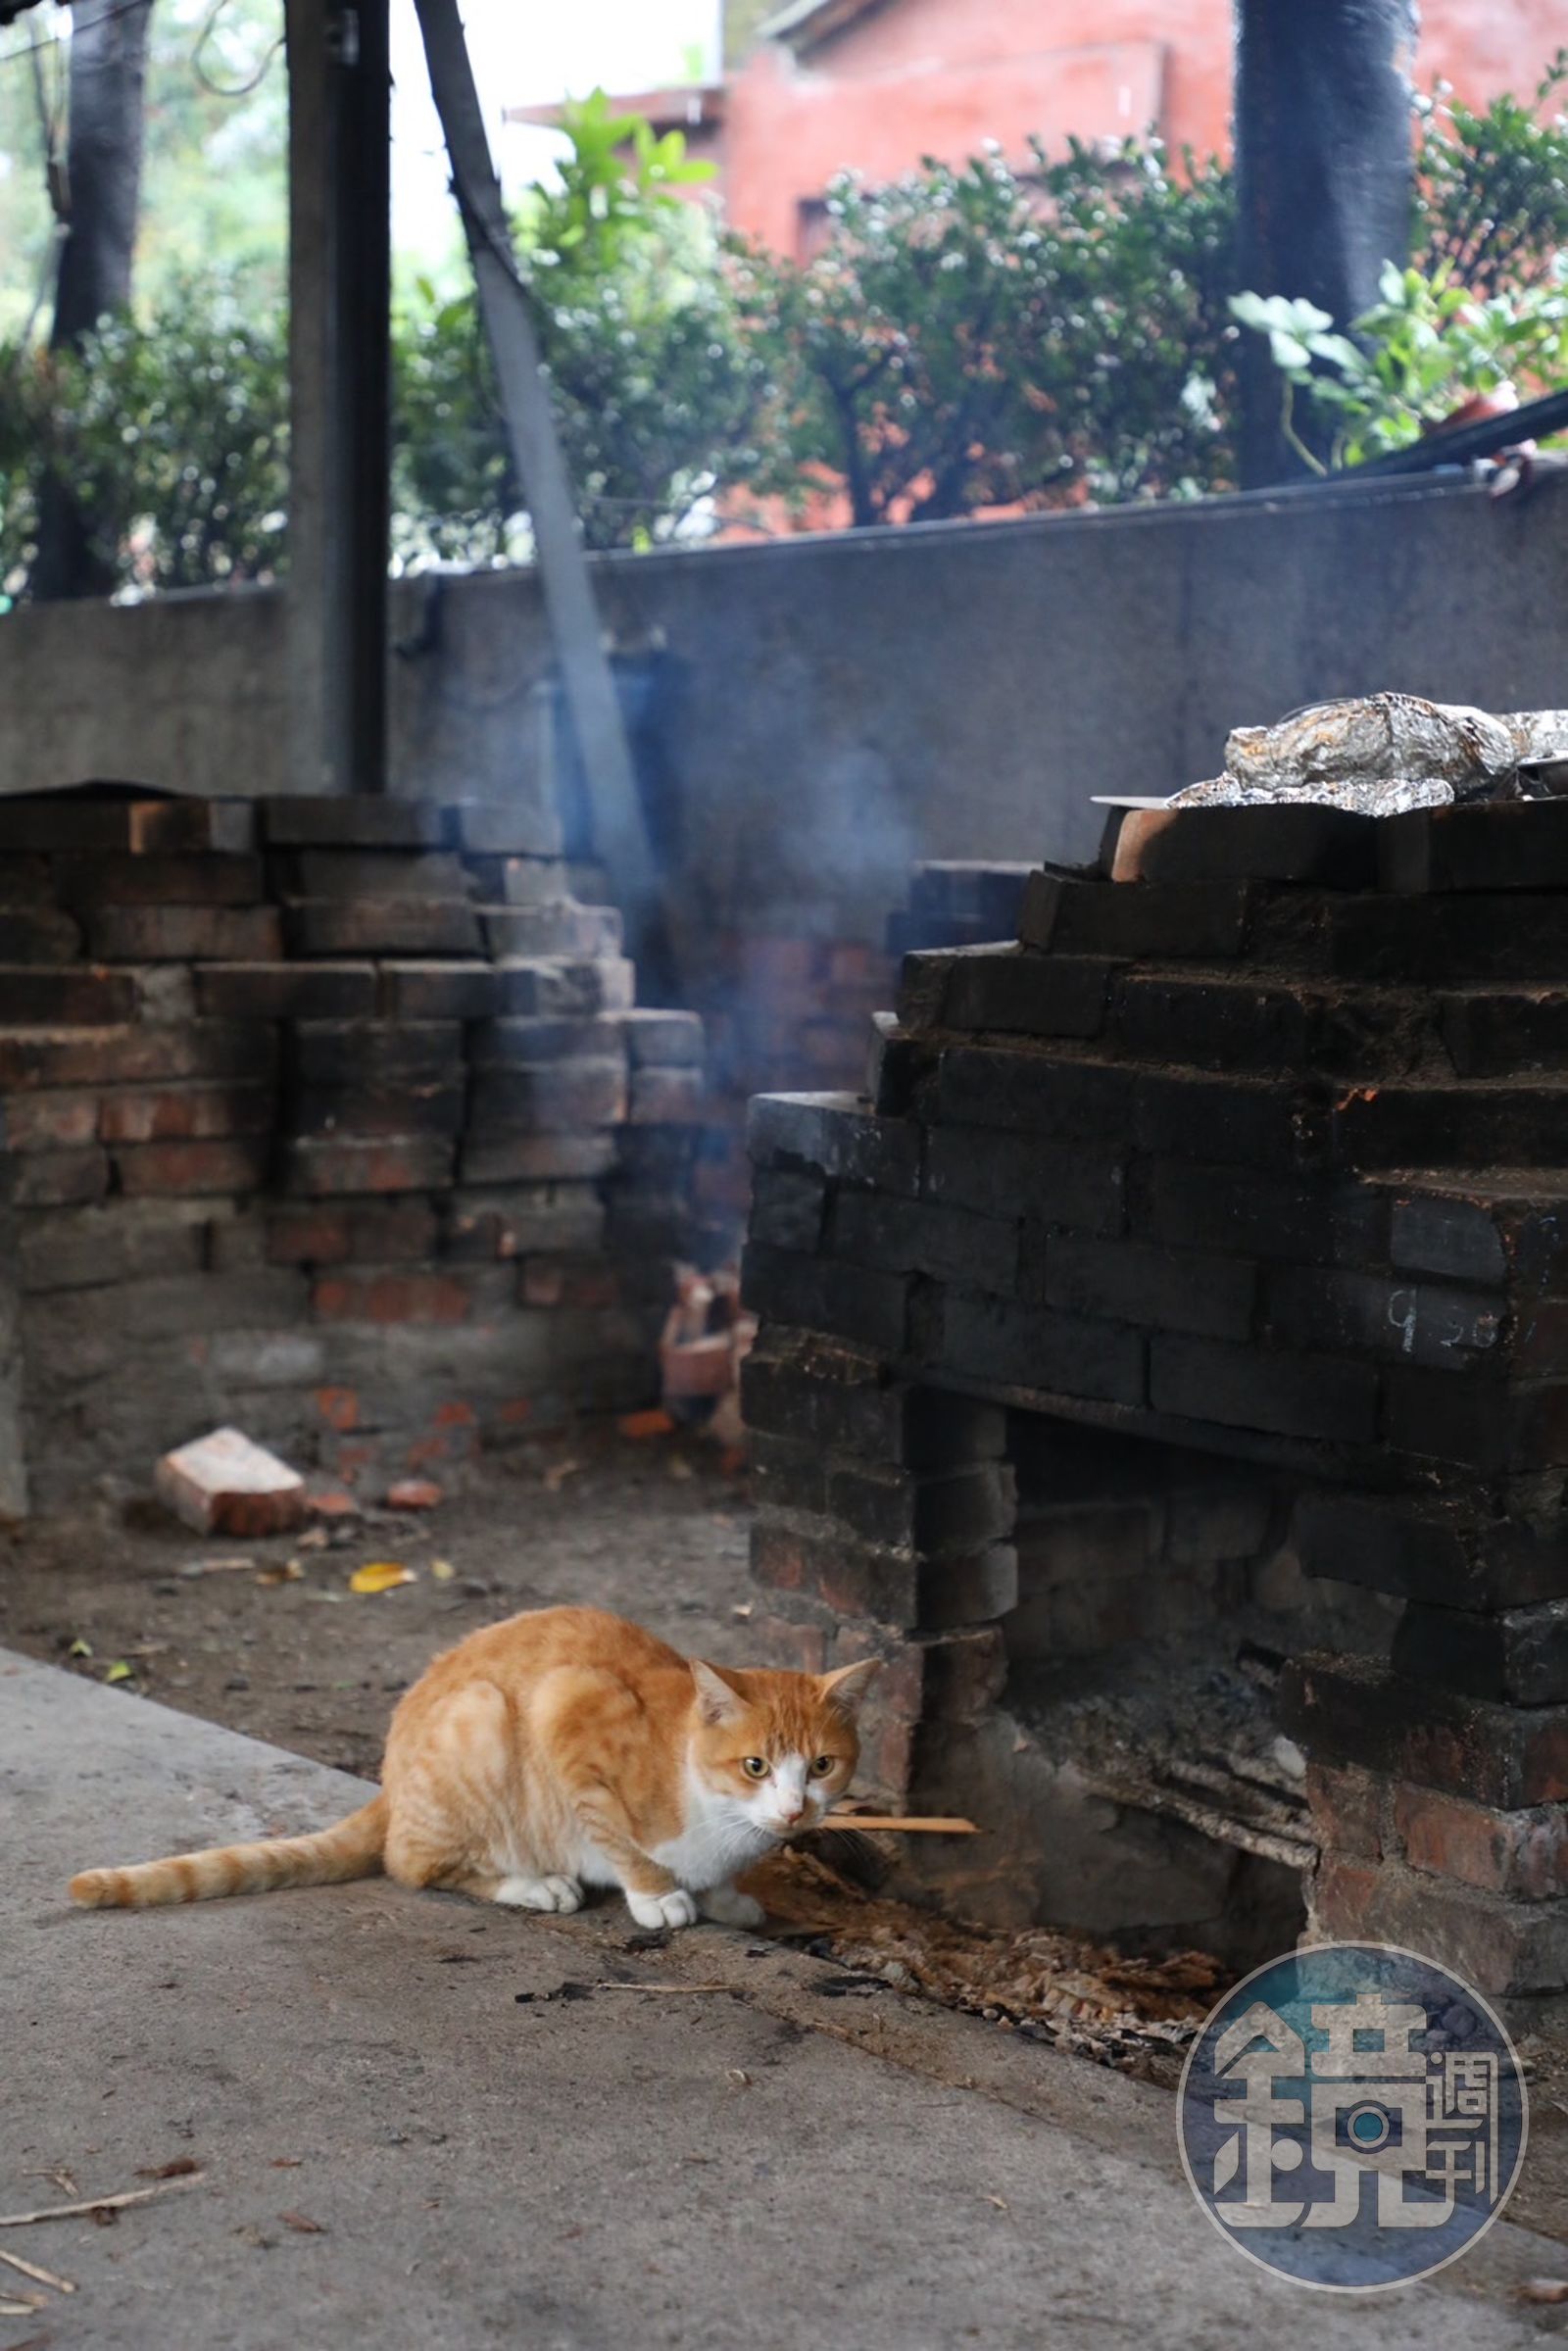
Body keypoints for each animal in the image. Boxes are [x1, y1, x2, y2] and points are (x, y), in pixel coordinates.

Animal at [70, 1607, 883, 1936]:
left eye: (820, 1765)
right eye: (754, 1765)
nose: (795, 1811)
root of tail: (390, 1780)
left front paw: (722, 1896)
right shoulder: (567, 1713)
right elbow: (619, 1839)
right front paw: (660, 1894)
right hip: (483, 1717)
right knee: (414, 1862)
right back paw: (536, 1884)